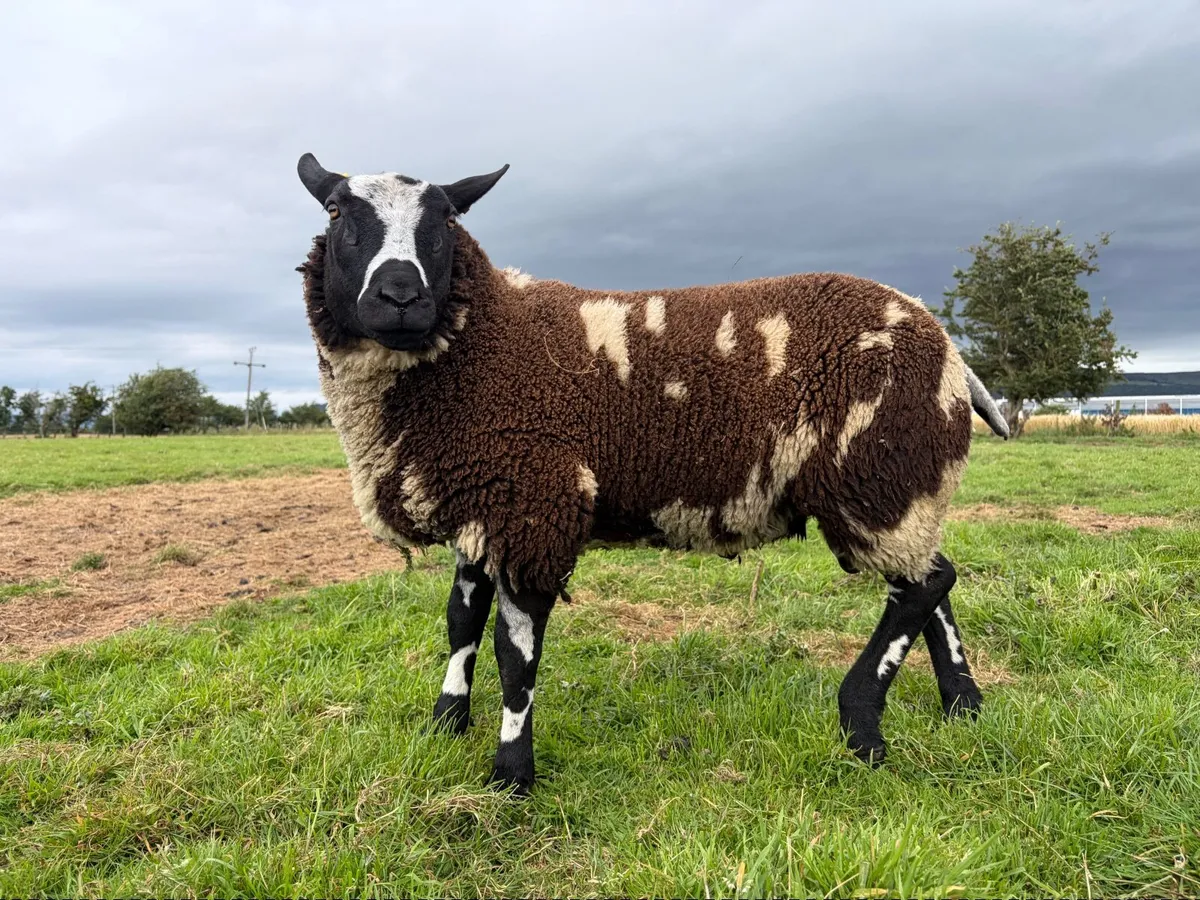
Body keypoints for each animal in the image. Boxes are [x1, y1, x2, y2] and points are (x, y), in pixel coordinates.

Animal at [293, 152, 1010, 795]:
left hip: (878, 475)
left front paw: (511, 775)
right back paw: (962, 706)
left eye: (445, 218)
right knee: (928, 579)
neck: (485, 339)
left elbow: (514, 654)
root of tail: (945, 342)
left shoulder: (534, 504)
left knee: (924, 584)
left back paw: (861, 723)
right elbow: (460, 621)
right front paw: (445, 725)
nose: (401, 296)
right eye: (336, 211)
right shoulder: (483, 503)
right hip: (898, 484)